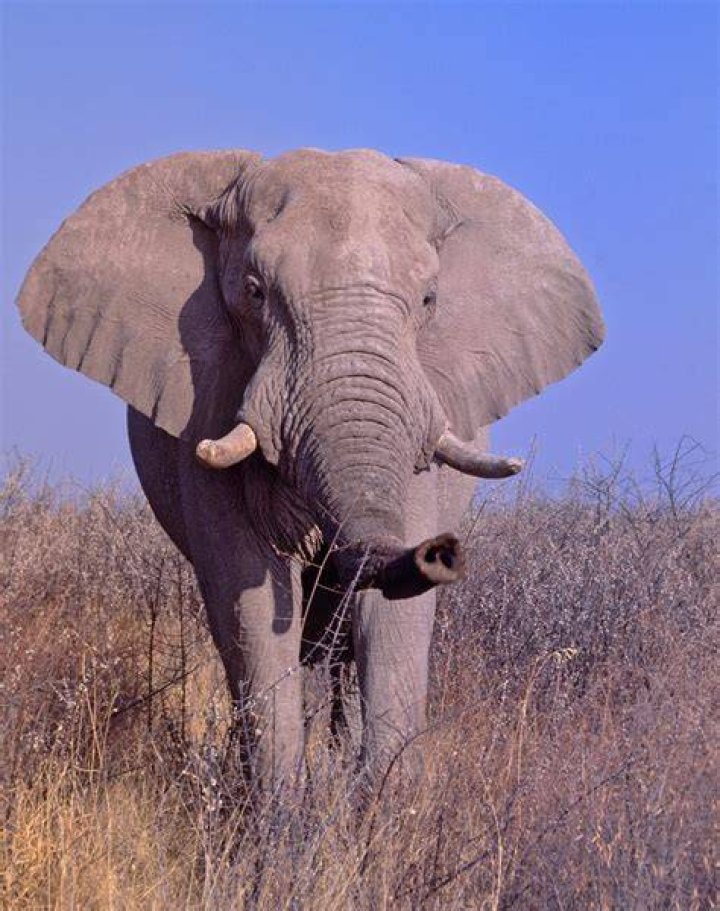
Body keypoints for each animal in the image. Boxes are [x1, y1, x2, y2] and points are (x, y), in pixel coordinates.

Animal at [16, 148, 604, 792]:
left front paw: (386, 810)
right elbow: (249, 598)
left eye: (429, 300)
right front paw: (278, 814)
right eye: (254, 292)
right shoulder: (209, 397)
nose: (440, 551)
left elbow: (391, 619)